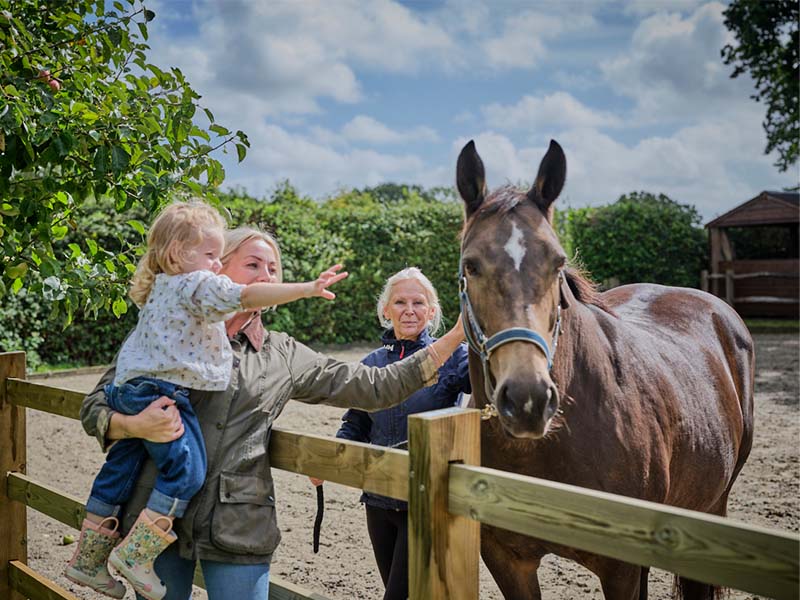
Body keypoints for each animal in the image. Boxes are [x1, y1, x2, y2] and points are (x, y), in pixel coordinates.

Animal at [454, 139, 754, 600]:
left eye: (558, 263)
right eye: (471, 265)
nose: (528, 399)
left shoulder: (620, 568)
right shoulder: (507, 559)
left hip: (712, 504)